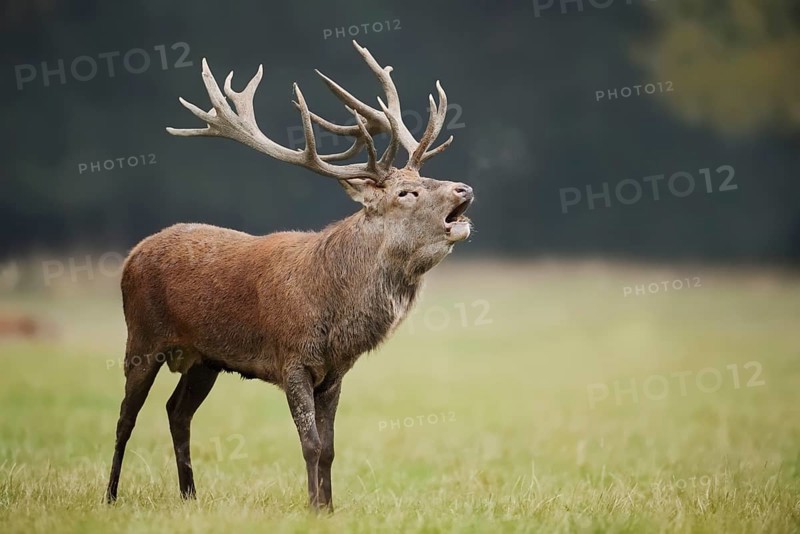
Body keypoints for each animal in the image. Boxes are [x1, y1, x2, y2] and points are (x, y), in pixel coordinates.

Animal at [105, 40, 473, 511]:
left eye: (426, 176)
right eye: (407, 192)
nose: (464, 189)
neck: (334, 309)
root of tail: (133, 254)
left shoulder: (335, 372)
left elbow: (330, 447)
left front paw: (329, 508)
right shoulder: (291, 357)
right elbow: (310, 444)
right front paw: (313, 509)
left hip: (205, 359)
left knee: (176, 411)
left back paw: (189, 496)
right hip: (142, 336)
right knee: (125, 417)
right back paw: (110, 495)